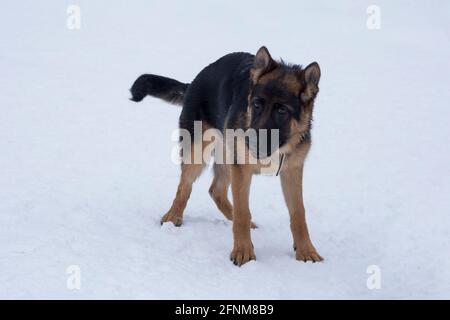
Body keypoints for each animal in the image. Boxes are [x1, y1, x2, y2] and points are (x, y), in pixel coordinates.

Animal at [130, 45, 324, 264]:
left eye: (282, 110)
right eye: (257, 104)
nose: (249, 141)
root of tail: (193, 83)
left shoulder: (292, 171)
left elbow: (298, 214)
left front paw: (306, 251)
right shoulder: (242, 169)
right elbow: (242, 213)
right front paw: (243, 252)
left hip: (226, 157)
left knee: (216, 190)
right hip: (198, 153)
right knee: (185, 187)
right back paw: (172, 217)